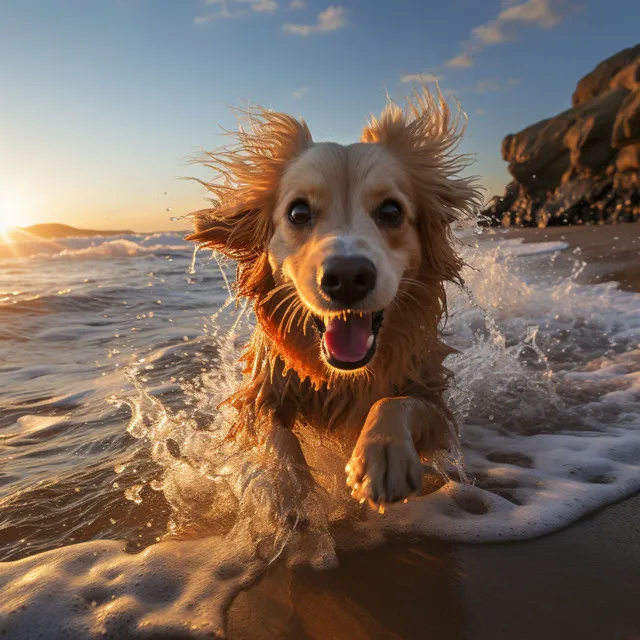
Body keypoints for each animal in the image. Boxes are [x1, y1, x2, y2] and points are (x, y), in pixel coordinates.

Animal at [185, 87, 480, 508]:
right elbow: (276, 435)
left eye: (391, 210)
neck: (343, 379)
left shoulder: (435, 401)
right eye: (298, 212)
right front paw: (288, 491)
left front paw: (382, 454)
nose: (347, 278)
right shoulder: (261, 393)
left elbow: (398, 402)